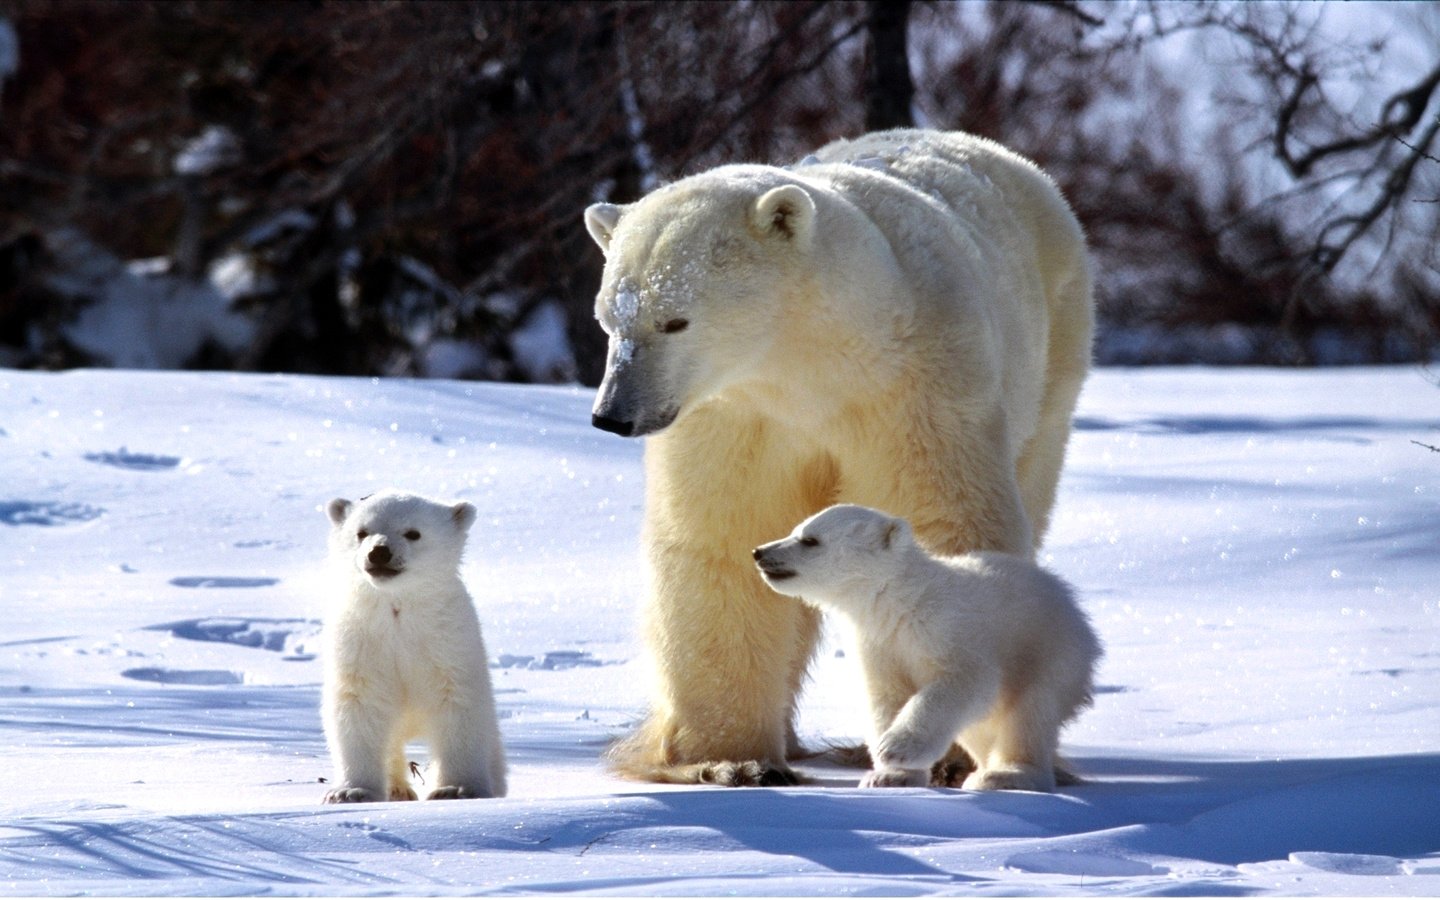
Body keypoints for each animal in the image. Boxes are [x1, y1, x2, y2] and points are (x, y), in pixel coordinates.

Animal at [584, 128, 1088, 783]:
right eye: (608, 319)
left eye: (675, 320)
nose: (613, 415)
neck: (812, 363)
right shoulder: (737, 415)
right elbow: (722, 537)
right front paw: (730, 760)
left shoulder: (912, 387)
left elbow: (940, 515)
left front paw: (945, 756)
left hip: (1054, 354)